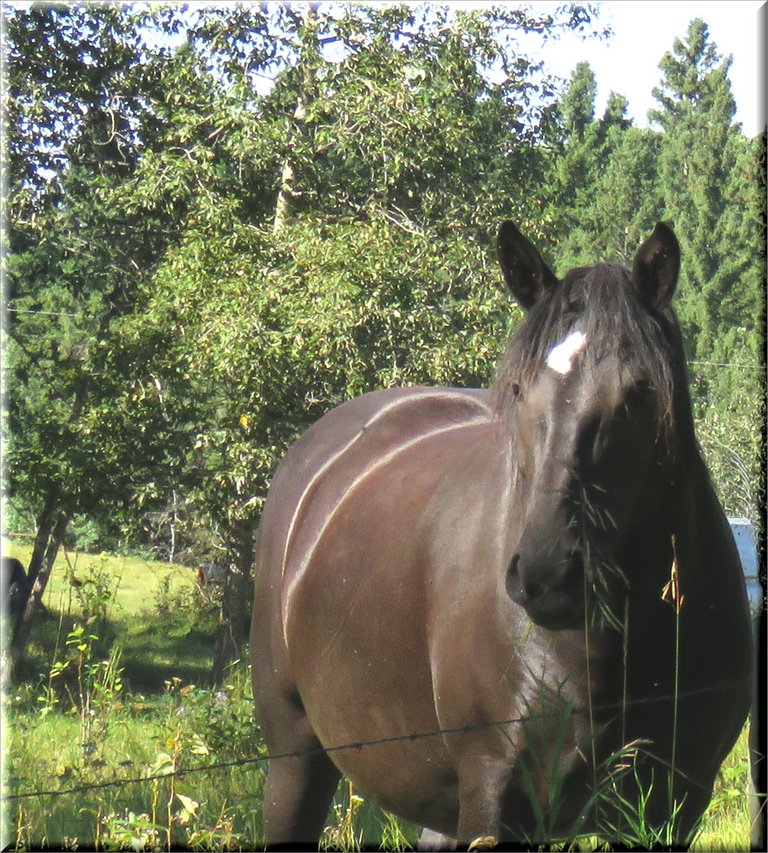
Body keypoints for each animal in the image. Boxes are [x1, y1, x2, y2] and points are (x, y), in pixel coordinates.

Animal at [250, 223, 752, 848]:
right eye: (517, 389)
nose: (546, 575)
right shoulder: (496, 794)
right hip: (296, 760)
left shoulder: (673, 807)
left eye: (638, 391)